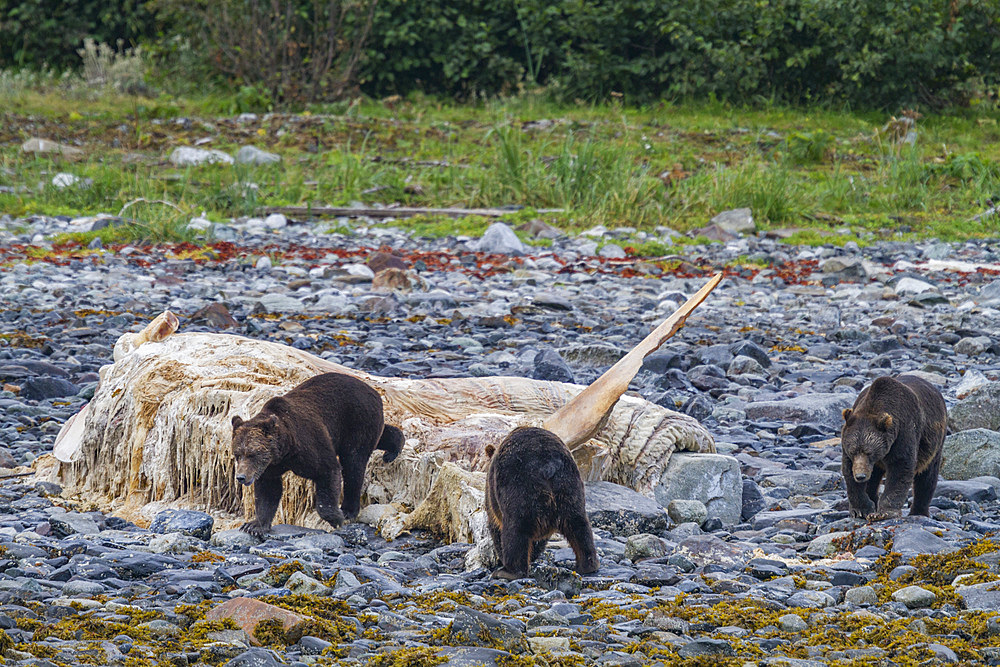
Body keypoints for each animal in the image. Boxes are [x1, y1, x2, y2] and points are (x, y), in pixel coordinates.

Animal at [232, 374, 404, 540]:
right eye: (237, 454)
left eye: (252, 454)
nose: (241, 477)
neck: (285, 449)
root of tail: (375, 393)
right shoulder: (271, 466)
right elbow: (268, 491)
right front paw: (254, 525)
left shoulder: (308, 444)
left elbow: (327, 471)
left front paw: (336, 517)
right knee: (379, 437)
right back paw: (394, 447)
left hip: (357, 420)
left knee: (353, 464)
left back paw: (348, 510)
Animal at [482, 428, 596, 580]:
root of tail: (547, 464)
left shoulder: (492, 495)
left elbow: (495, 525)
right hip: (569, 487)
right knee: (579, 524)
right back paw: (587, 565)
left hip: (519, 487)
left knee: (515, 529)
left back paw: (508, 571)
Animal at [844, 376, 944, 520]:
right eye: (853, 451)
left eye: (869, 452)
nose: (861, 476)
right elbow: (849, 473)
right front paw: (861, 510)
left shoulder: (903, 434)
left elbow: (900, 469)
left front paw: (885, 512)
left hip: (933, 445)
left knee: (927, 477)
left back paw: (919, 511)